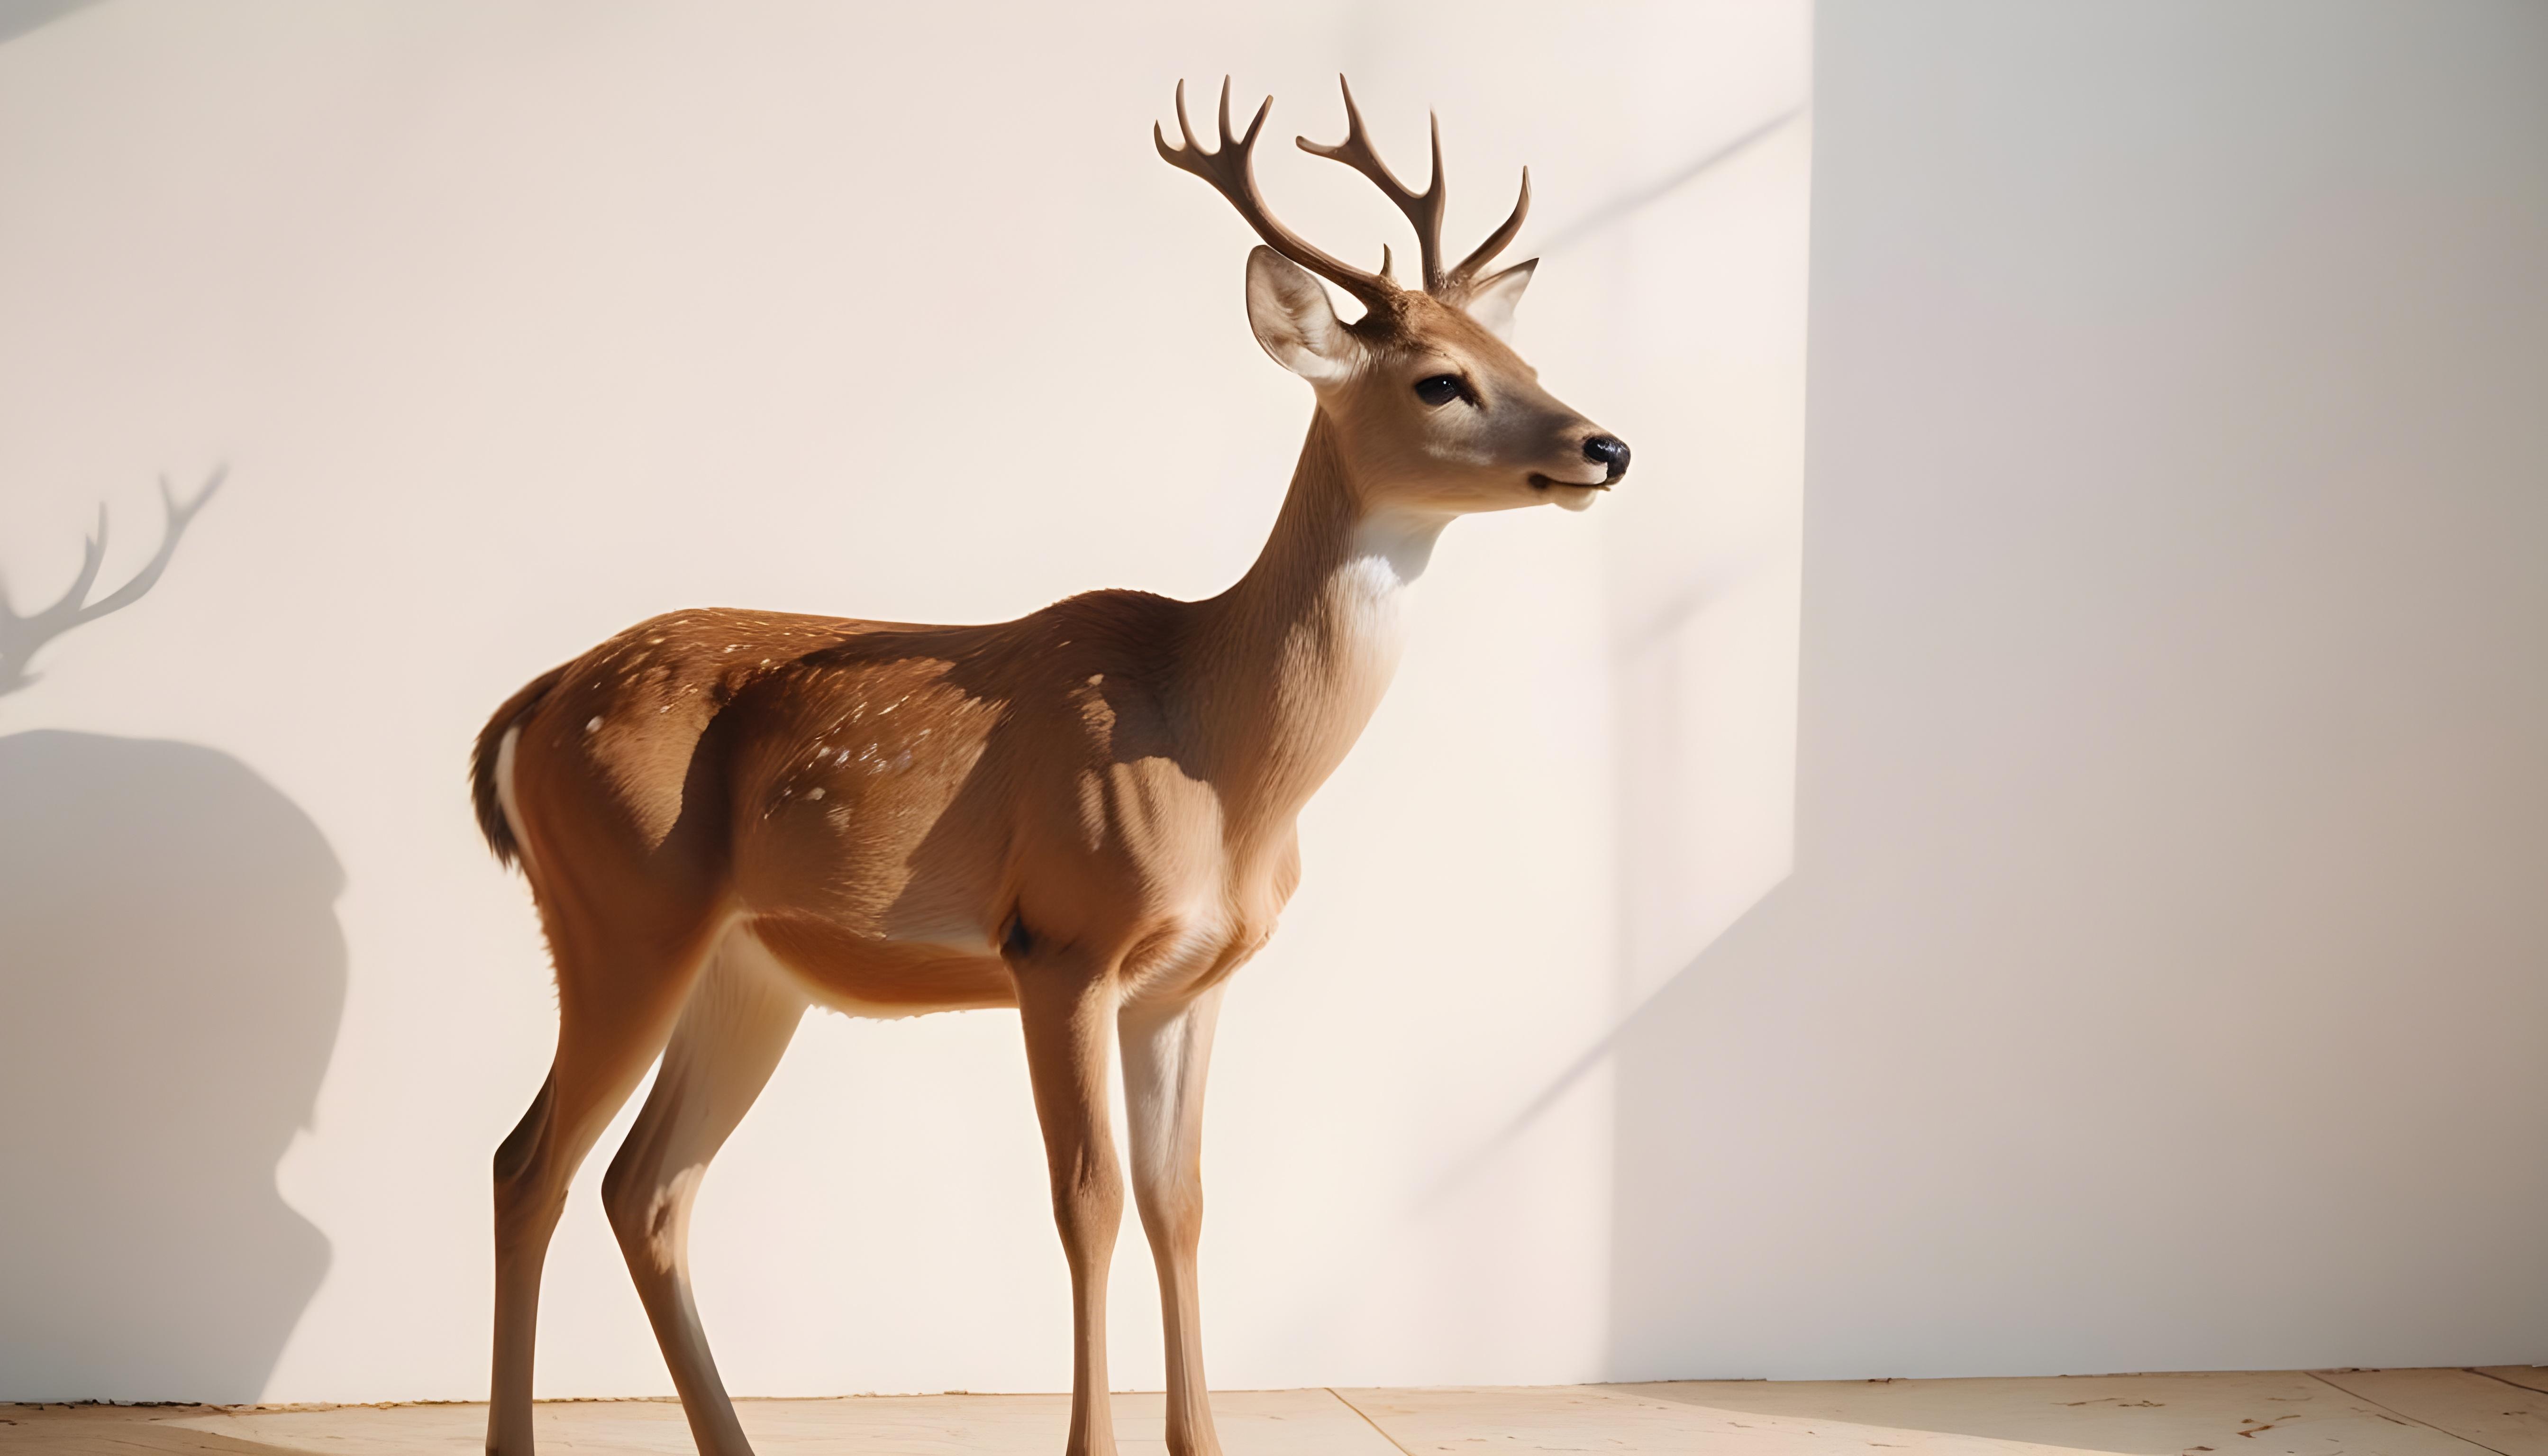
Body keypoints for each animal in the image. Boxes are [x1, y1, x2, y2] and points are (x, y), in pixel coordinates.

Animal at [468, 77, 1629, 1456]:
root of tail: (531, 707)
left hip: (749, 966)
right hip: (618, 911)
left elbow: (1184, 1199)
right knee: (528, 1162)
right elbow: (1091, 1198)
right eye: (1442, 382)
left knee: (646, 1184)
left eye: (1527, 362)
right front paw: (1094, 1443)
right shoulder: (1062, 938)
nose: (1607, 447)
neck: (1222, 759)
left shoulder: (1191, 979)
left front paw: (1203, 1440)